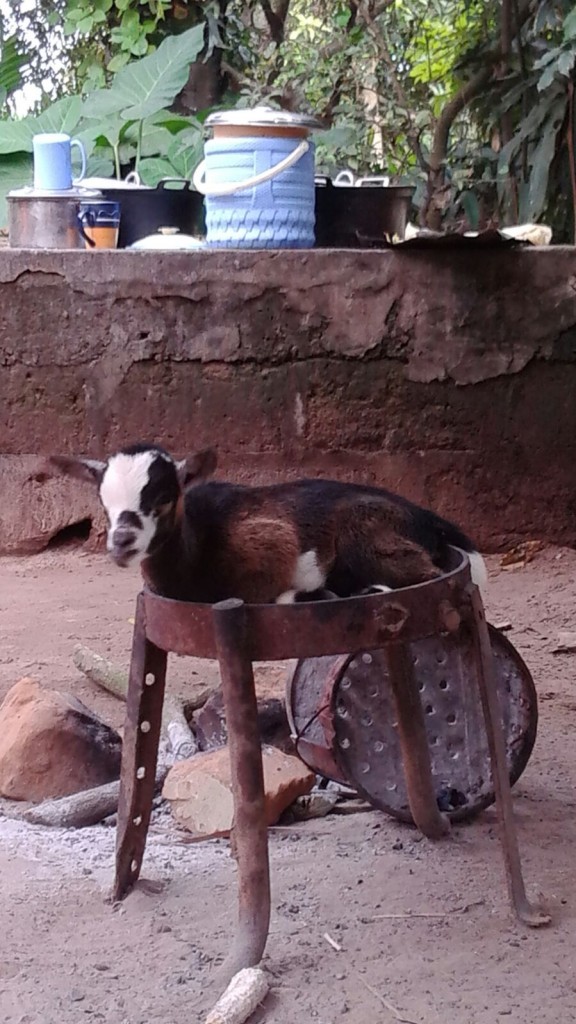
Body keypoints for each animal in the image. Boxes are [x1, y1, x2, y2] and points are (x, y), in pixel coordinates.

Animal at [47, 443, 487, 604]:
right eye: (103, 503)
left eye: (164, 498)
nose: (122, 541)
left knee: (428, 578)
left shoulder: (271, 544)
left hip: (368, 535)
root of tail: (426, 518)